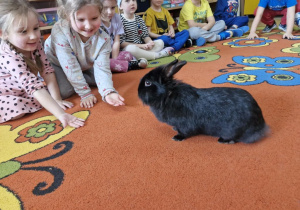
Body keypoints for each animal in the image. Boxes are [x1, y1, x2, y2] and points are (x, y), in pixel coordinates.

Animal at [138, 60, 270, 144]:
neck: (168, 94)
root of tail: (261, 124)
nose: (138, 92)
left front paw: (177, 137)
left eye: (148, 83)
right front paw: (174, 129)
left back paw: (224, 140)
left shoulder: (185, 124)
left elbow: (185, 132)